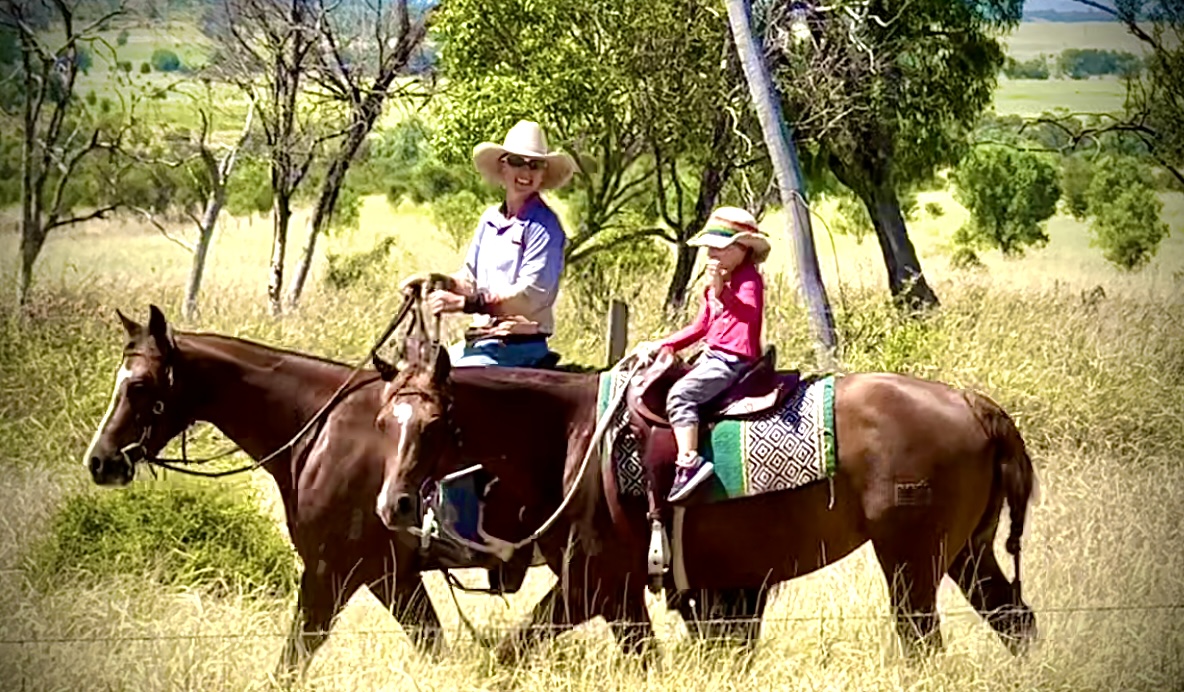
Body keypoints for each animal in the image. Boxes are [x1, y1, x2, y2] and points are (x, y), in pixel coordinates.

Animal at [82, 305, 448, 683]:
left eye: (139, 384)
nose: (99, 461)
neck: (325, 431)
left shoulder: (332, 571)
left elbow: (294, 657)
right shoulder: (391, 574)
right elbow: (434, 644)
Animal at [374, 345, 1039, 662]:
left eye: (434, 426)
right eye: (383, 422)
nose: (395, 505)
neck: (571, 435)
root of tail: (974, 404)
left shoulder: (598, 586)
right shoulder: (627, 593)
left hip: (910, 562)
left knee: (923, 641)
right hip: (965, 555)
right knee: (1016, 622)